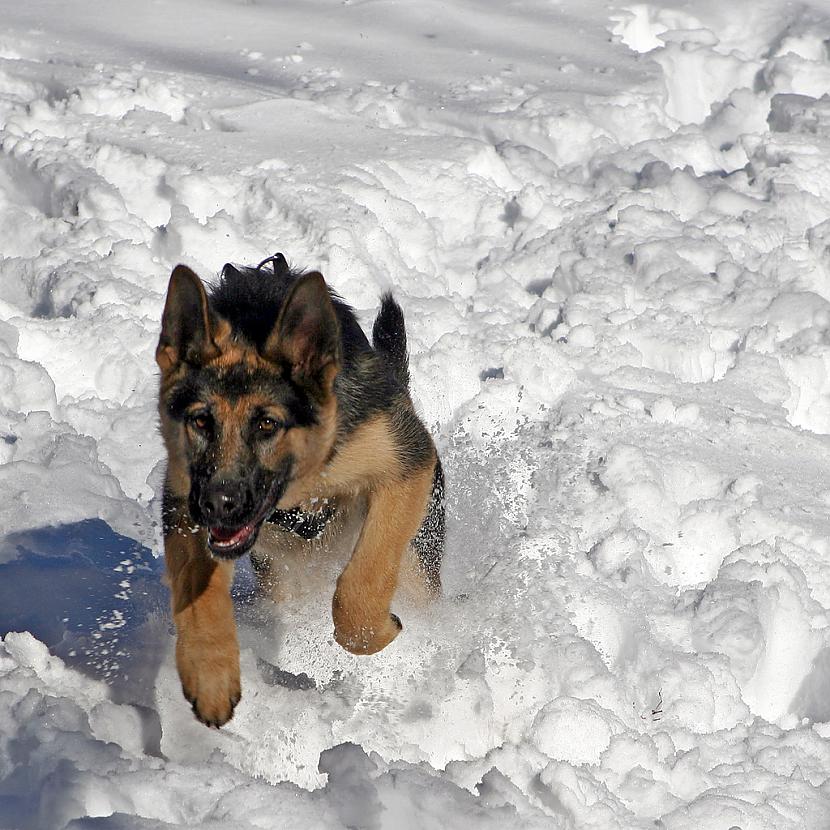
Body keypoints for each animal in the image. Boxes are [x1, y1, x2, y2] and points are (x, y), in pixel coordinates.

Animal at [155, 255, 442, 728]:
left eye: (267, 424)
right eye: (200, 421)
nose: (217, 505)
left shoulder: (405, 462)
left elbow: (363, 579)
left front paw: (376, 630)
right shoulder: (184, 506)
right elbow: (198, 598)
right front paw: (209, 676)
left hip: (418, 561)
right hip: (277, 575)